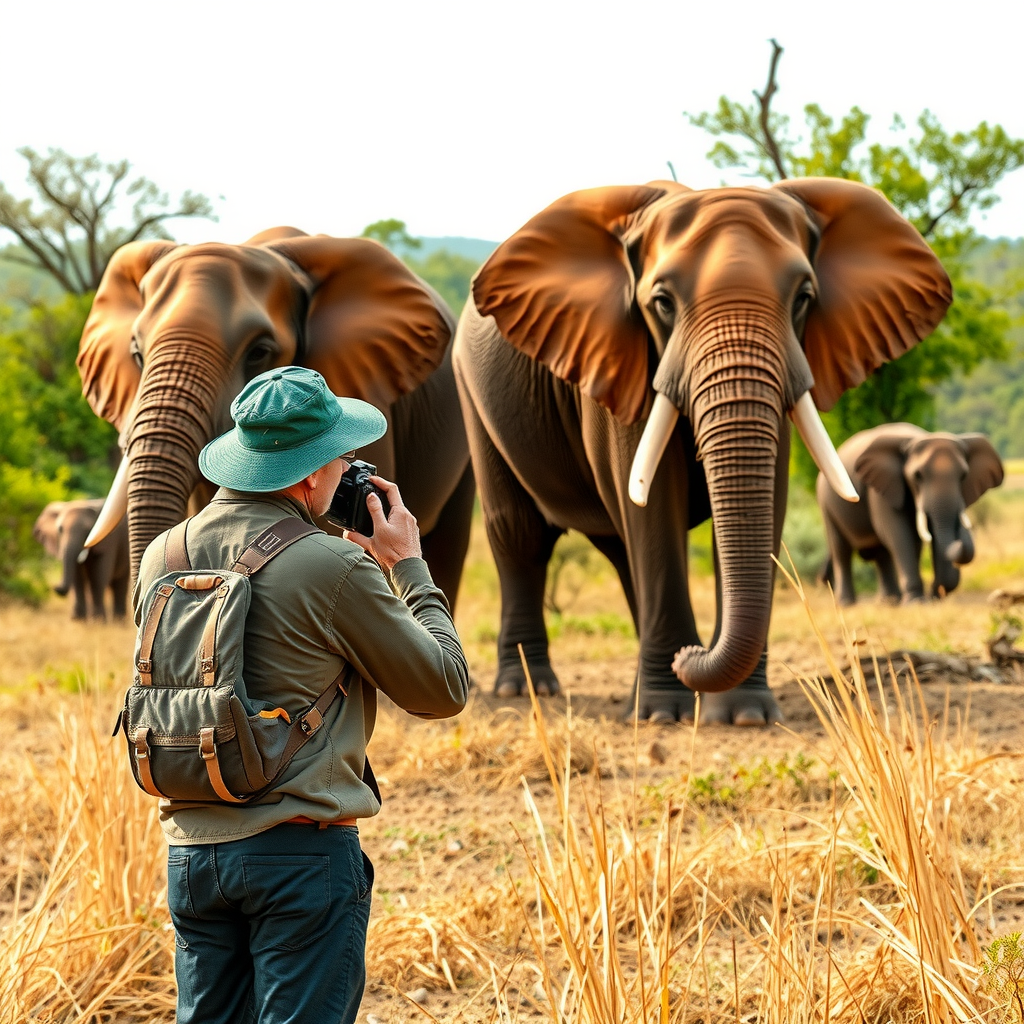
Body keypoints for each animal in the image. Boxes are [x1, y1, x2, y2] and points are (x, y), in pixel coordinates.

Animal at [453, 178, 951, 724]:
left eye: (803, 298)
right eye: (662, 303)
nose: (691, 656)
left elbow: (764, 503)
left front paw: (744, 715)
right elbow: (653, 505)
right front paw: (663, 715)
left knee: (620, 547)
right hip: (471, 391)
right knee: (520, 534)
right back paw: (528, 689)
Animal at [817, 424, 1003, 605]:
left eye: (964, 476)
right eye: (917, 476)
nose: (936, 593)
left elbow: (921, 538)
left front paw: (928, 599)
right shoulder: (881, 487)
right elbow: (899, 533)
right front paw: (916, 602)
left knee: (881, 553)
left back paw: (889, 601)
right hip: (826, 502)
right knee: (841, 550)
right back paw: (846, 603)